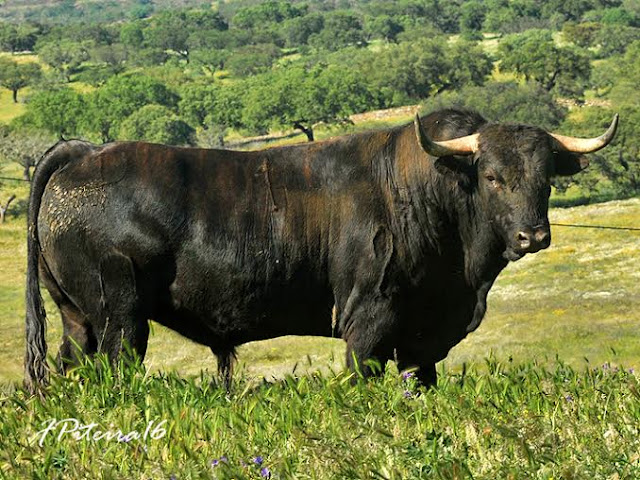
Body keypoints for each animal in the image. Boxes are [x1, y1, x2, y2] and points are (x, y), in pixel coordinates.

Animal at [22, 108, 616, 390]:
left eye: (546, 178)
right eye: (491, 176)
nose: (533, 236)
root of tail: (83, 154)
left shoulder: (420, 339)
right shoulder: (367, 320)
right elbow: (360, 377)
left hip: (80, 320)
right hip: (120, 320)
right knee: (114, 369)